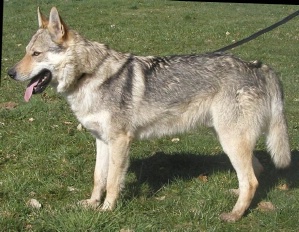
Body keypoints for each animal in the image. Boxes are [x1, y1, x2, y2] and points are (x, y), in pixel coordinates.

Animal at [8, 6, 292, 222]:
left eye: (36, 54)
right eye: (25, 52)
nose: (9, 73)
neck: (88, 75)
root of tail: (259, 66)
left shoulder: (120, 141)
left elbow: (113, 181)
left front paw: (107, 210)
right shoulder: (101, 141)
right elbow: (98, 178)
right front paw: (91, 204)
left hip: (230, 140)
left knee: (251, 180)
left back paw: (233, 216)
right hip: (228, 138)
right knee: (255, 172)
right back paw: (236, 196)